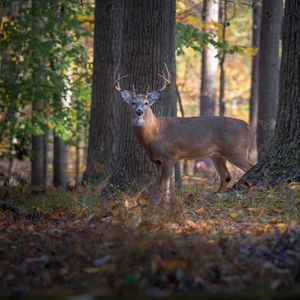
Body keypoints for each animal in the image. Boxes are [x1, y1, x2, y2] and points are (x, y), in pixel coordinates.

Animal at [113, 64, 252, 200]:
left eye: (146, 103)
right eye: (133, 103)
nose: (139, 111)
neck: (154, 134)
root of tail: (247, 126)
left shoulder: (170, 156)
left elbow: (162, 187)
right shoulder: (158, 161)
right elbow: (166, 188)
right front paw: (166, 203)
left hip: (236, 150)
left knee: (249, 167)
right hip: (217, 155)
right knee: (226, 176)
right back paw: (216, 196)